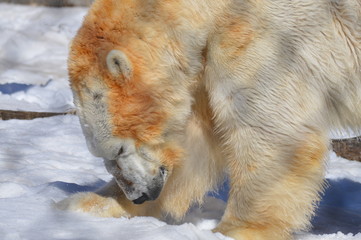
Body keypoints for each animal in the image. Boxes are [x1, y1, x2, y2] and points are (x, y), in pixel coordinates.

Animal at [59, 0, 360, 239]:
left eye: (119, 148)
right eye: (102, 153)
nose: (140, 194)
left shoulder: (268, 38)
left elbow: (269, 129)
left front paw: (234, 230)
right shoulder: (205, 60)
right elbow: (196, 144)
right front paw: (83, 203)